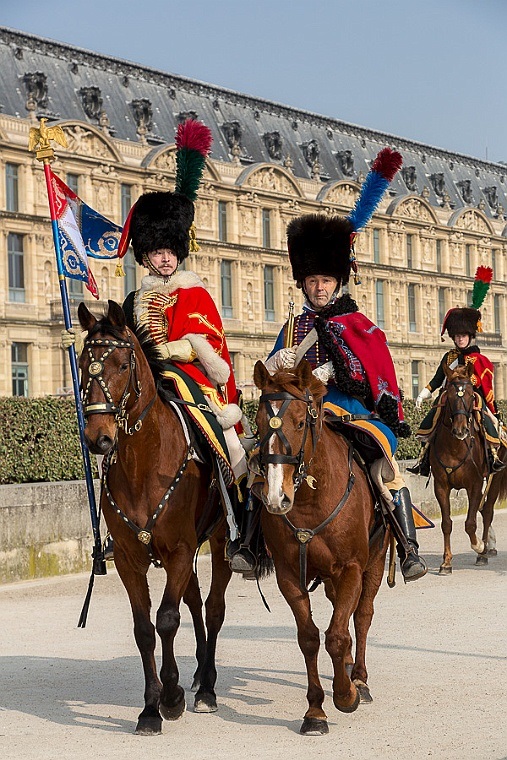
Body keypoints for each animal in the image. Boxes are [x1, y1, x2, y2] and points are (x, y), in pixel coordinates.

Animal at [77, 300, 232, 732]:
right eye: (81, 363)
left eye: (121, 364)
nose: (98, 438)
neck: (143, 463)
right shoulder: (130, 559)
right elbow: (144, 628)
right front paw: (151, 706)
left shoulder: (179, 550)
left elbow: (166, 619)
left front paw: (172, 696)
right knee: (195, 602)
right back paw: (198, 676)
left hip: (219, 543)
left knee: (212, 608)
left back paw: (207, 687)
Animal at [253, 360, 388, 736]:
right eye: (257, 423)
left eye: (301, 422)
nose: (276, 497)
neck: (311, 501)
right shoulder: (289, 576)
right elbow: (310, 637)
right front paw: (315, 711)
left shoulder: (351, 568)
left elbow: (338, 634)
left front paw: (345, 695)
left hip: (375, 561)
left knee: (362, 615)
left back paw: (359, 680)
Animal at [428, 362, 507, 568]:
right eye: (449, 395)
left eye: (472, 395)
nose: (460, 430)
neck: (455, 447)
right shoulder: (441, 486)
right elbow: (446, 523)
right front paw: (446, 562)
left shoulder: (476, 484)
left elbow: (471, 523)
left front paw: (479, 546)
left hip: (495, 479)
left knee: (487, 512)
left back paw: (484, 551)